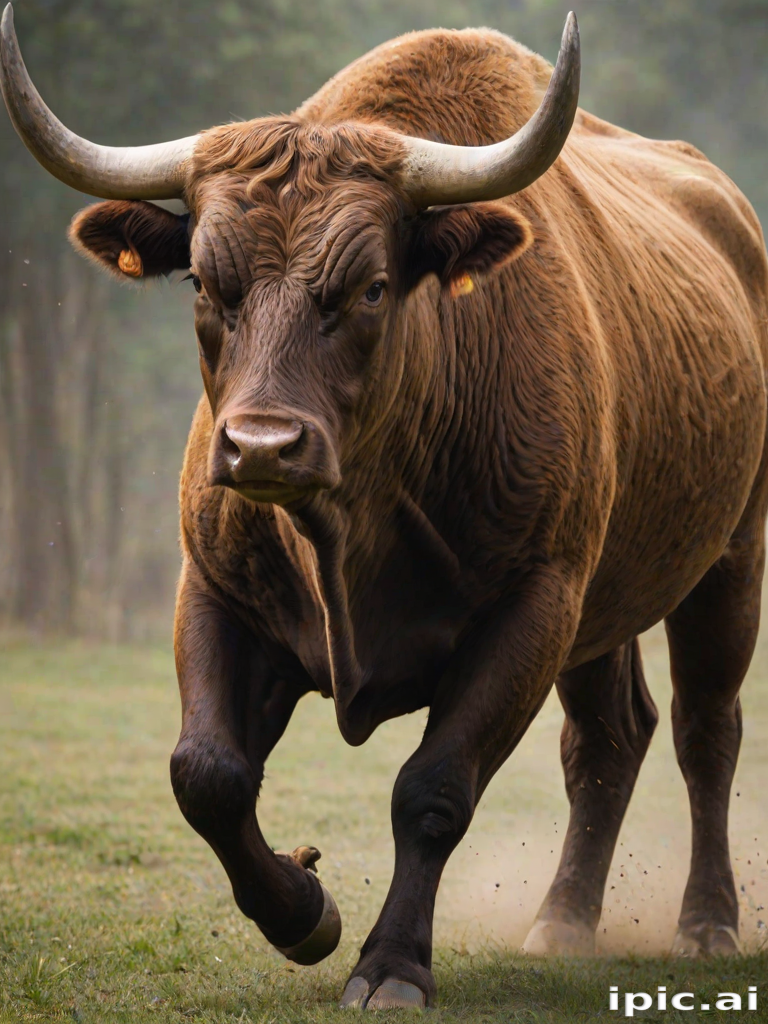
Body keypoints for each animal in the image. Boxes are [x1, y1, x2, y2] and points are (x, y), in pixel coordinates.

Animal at [3, 2, 767, 1009]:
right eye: (205, 283)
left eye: (369, 286)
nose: (262, 447)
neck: (352, 528)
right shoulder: (214, 591)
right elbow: (206, 774)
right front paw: (304, 911)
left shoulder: (533, 606)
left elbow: (432, 790)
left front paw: (392, 963)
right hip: (607, 600)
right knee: (609, 738)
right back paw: (562, 921)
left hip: (731, 556)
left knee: (703, 730)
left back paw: (707, 922)